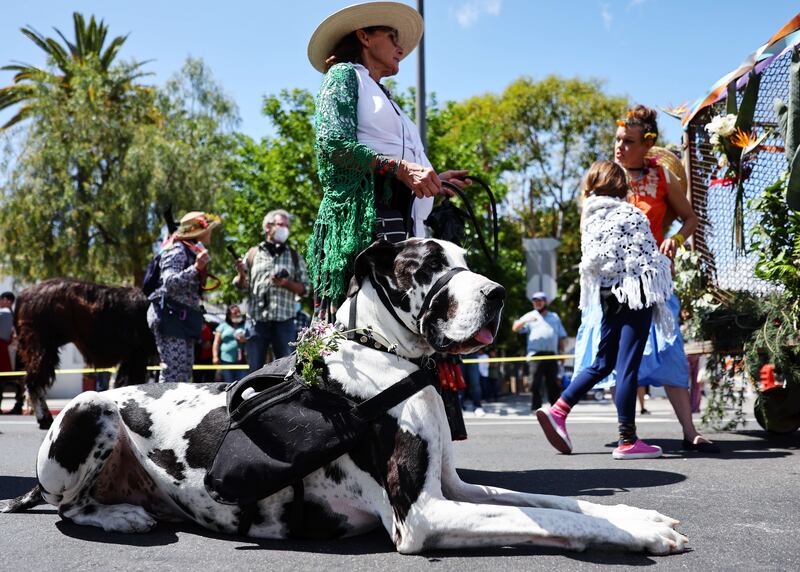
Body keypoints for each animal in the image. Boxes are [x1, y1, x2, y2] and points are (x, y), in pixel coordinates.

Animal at [1, 239, 688, 556]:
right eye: (426, 265)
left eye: (465, 257)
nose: (495, 294)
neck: (387, 356)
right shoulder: (421, 516)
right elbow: (548, 519)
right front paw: (639, 538)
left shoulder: (456, 487)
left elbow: (556, 502)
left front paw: (639, 519)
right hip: (90, 412)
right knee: (67, 507)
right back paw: (119, 515)